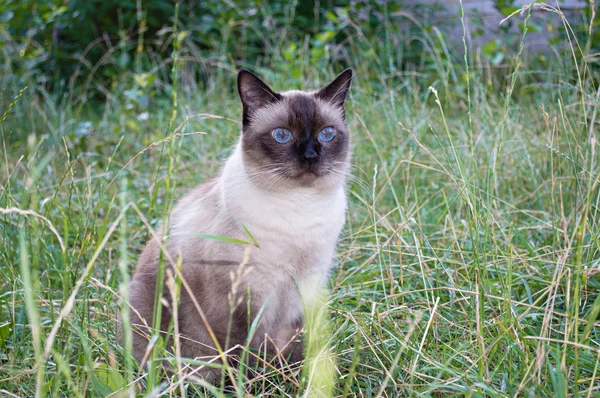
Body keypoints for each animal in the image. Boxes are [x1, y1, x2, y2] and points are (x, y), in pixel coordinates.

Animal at [124, 67, 354, 378]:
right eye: (282, 135)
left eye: (326, 134)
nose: (310, 156)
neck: (300, 208)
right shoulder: (238, 298)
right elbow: (238, 355)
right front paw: (250, 383)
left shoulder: (306, 287)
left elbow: (294, 350)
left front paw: (292, 379)